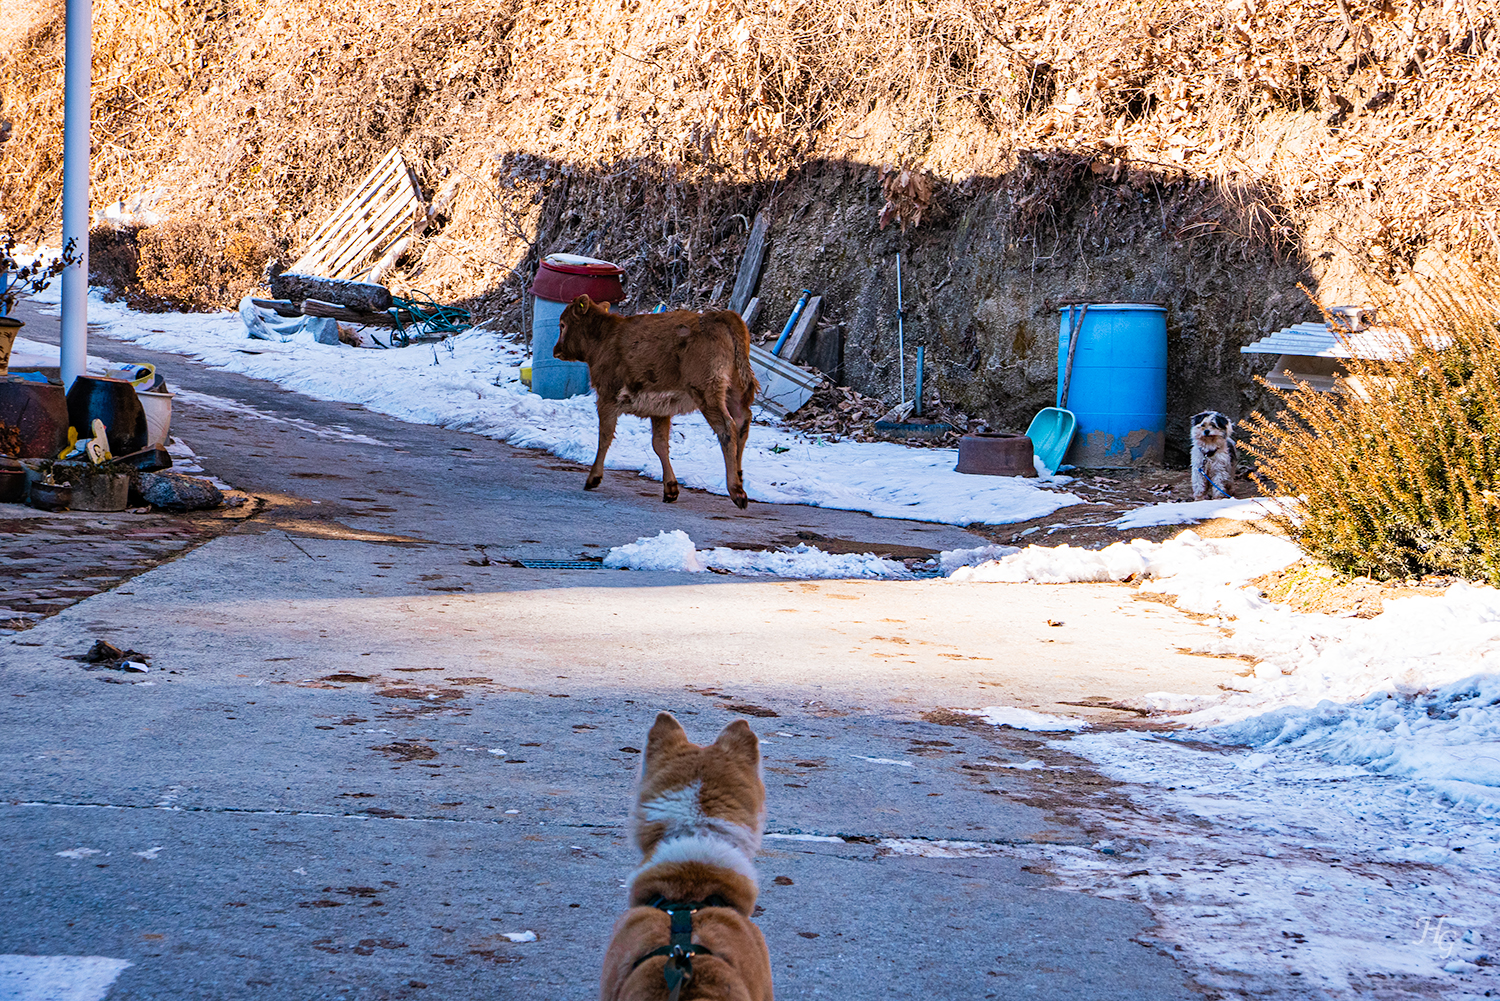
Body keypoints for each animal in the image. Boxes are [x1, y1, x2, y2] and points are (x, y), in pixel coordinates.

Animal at [555, 291, 756, 510]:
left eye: (563, 324)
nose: (556, 350)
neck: (604, 337)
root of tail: (719, 316)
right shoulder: (660, 410)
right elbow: (659, 444)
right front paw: (670, 489)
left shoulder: (607, 398)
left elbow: (604, 437)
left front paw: (593, 478)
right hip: (734, 390)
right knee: (742, 422)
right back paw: (740, 478)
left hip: (708, 394)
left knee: (727, 428)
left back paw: (736, 491)